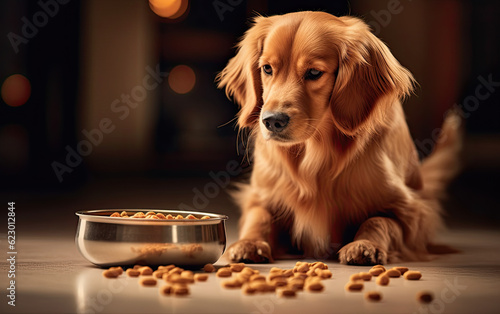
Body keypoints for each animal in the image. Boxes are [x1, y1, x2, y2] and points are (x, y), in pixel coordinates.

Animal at [217, 11, 458, 264]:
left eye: (314, 73)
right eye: (267, 69)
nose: (273, 121)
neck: (317, 152)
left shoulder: (411, 213)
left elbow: (380, 220)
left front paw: (364, 245)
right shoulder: (260, 194)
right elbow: (259, 216)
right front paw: (248, 243)